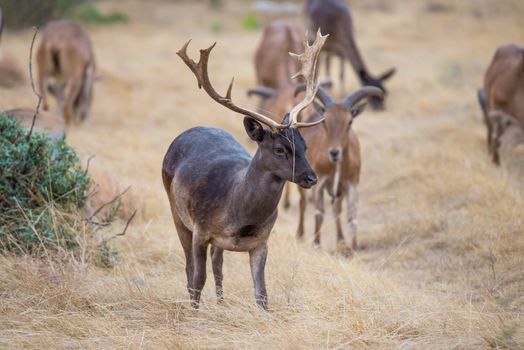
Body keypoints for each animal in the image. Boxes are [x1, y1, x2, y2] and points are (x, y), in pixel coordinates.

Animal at [163, 30, 328, 308]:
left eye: (304, 144)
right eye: (279, 149)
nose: (311, 177)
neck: (238, 212)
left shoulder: (262, 241)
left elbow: (261, 292)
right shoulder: (200, 230)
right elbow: (197, 279)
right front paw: (194, 312)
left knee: (218, 264)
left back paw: (220, 302)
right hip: (176, 211)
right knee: (189, 268)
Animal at [292, 83, 382, 250]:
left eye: (349, 122)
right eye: (325, 122)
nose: (334, 152)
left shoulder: (351, 183)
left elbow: (351, 217)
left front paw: (353, 248)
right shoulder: (318, 182)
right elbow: (319, 213)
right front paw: (316, 244)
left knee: (336, 208)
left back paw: (341, 240)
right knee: (302, 203)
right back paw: (300, 236)